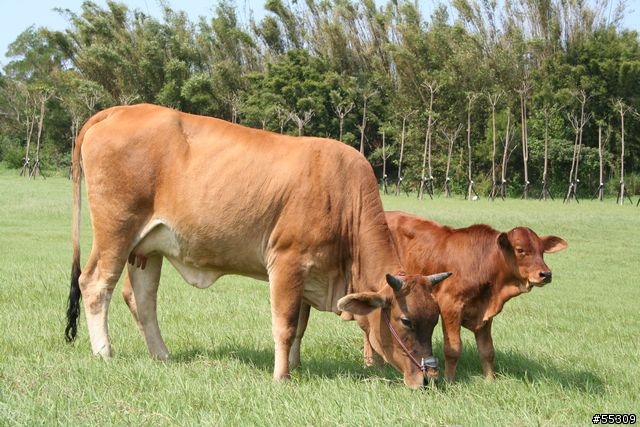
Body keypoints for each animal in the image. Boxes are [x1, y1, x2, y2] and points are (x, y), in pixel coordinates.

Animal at [65, 103, 450, 388]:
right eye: (405, 321)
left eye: (434, 320)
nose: (430, 375)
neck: (343, 198)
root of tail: (117, 110)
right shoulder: (287, 263)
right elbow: (286, 325)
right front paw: (282, 376)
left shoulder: (309, 274)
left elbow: (300, 327)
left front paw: (296, 366)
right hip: (116, 231)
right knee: (96, 285)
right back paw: (104, 352)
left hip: (147, 249)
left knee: (142, 299)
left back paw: (162, 355)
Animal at [380, 212, 564, 382]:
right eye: (520, 250)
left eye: (542, 250)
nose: (546, 274)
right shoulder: (450, 306)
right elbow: (453, 349)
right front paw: (449, 380)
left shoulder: (485, 313)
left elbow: (487, 350)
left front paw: (490, 380)